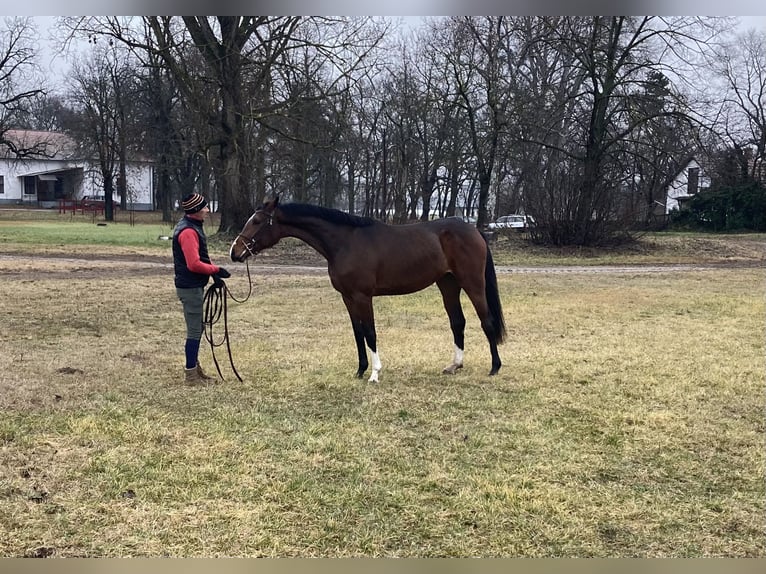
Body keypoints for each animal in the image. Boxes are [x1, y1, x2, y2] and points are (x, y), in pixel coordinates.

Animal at [232, 196, 510, 384]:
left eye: (257, 221)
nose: (235, 252)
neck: (345, 242)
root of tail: (474, 230)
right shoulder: (347, 297)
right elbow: (357, 334)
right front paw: (360, 370)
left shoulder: (363, 297)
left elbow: (370, 333)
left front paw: (375, 373)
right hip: (448, 284)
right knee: (457, 322)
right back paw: (455, 365)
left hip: (472, 283)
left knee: (487, 320)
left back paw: (495, 367)